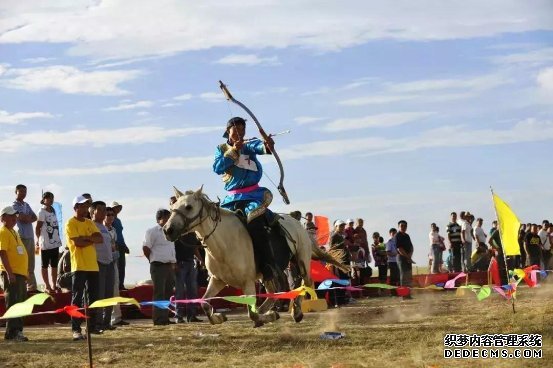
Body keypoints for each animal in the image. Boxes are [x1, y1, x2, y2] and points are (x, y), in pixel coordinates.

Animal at [162, 188, 348, 326]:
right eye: (172, 208)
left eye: (188, 207)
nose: (168, 230)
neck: (224, 243)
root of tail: (295, 220)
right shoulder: (217, 280)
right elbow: (204, 302)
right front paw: (219, 317)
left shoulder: (248, 282)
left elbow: (251, 314)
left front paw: (266, 317)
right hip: (271, 274)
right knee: (276, 292)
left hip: (300, 259)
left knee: (305, 282)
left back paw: (296, 312)